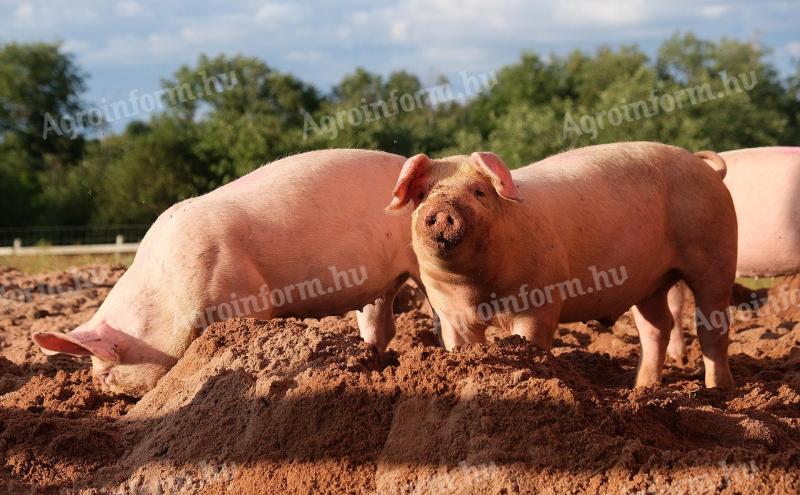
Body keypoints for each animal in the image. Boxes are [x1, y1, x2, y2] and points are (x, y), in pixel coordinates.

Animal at [32, 149, 418, 398]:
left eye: (108, 372)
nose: (99, 388)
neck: (164, 296)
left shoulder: (241, 296)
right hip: (382, 285)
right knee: (381, 325)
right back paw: (374, 358)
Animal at [388, 141, 736, 390]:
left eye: (479, 192)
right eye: (422, 194)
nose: (441, 209)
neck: (477, 291)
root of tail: (705, 167)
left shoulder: (538, 303)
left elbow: (531, 342)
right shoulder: (450, 313)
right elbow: (461, 346)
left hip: (715, 253)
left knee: (712, 326)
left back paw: (718, 391)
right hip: (650, 281)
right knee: (656, 327)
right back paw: (641, 388)